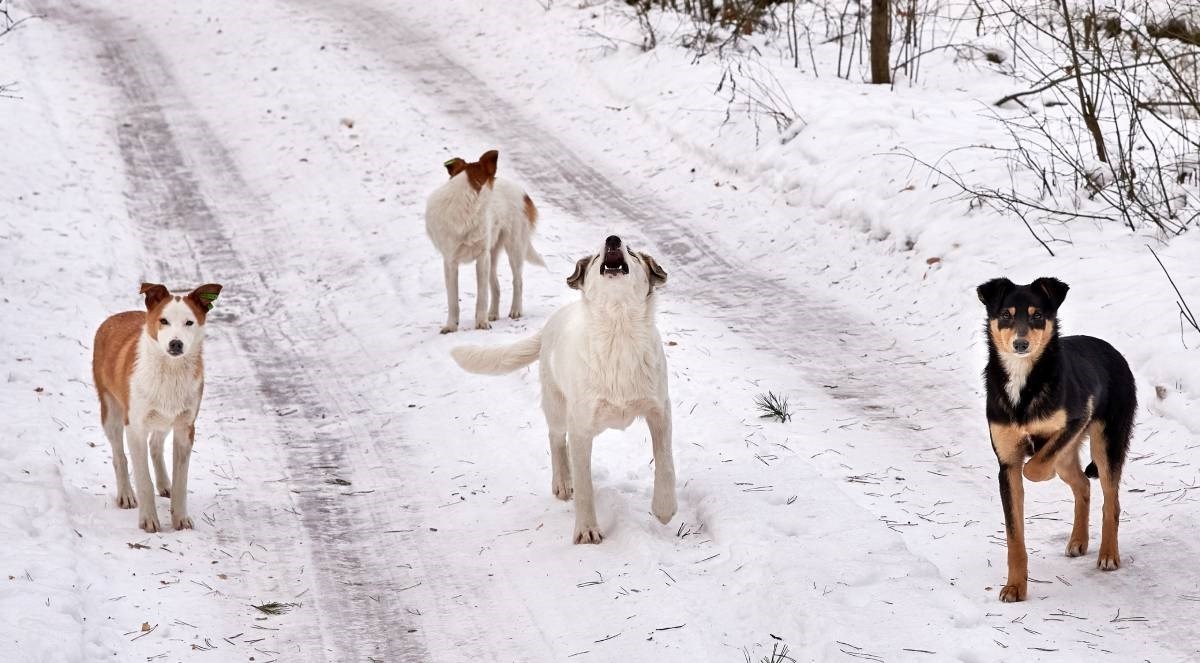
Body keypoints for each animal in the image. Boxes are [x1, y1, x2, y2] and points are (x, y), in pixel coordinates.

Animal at [93, 282, 223, 530]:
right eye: (163, 321)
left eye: (189, 322)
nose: (176, 343)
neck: (170, 370)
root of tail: (114, 317)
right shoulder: (135, 427)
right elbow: (143, 480)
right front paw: (148, 520)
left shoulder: (185, 427)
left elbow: (182, 482)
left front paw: (180, 518)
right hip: (111, 412)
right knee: (119, 456)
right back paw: (126, 494)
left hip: (165, 417)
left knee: (155, 444)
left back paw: (164, 483)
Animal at [427, 151, 544, 336]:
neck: (464, 201)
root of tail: (521, 190)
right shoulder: (450, 263)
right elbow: (453, 300)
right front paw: (451, 326)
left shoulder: (481, 258)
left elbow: (482, 296)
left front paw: (481, 323)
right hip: (492, 255)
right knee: (496, 286)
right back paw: (493, 314)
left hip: (514, 248)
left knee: (517, 281)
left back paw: (515, 310)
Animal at [451, 235, 676, 540]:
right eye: (597, 256)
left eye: (631, 252)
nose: (613, 239)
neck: (618, 328)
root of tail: (550, 324)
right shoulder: (582, 426)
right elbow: (584, 486)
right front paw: (587, 530)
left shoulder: (659, 410)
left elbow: (665, 463)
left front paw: (664, 509)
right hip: (558, 408)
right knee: (557, 439)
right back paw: (562, 482)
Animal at [974, 277, 1132, 602]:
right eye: (1006, 315)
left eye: (1037, 316)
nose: (1020, 344)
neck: (1023, 382)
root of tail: (1113, 351)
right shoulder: (1006, 465)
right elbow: (1014, 537)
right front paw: (1015, 586)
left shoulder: (1075, 420)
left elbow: (1033, 468)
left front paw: (1037, 470)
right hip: (1071, 457)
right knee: (1083, 484)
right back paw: (1078, 541)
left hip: (1105, 443)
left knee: (1111, 502)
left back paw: (1109, 555)